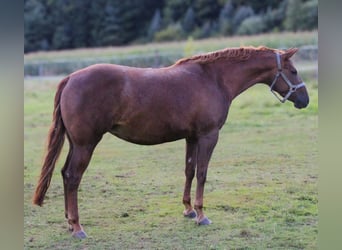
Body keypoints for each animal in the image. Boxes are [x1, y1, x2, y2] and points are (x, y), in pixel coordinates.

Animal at [32, 46, 310, 239]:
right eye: (293, 71)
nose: (305, 100)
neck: (213, 78)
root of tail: (70, 78)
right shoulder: (209, 135)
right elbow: (202, 173)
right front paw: (201, 214)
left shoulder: (192, 137)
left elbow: (189, 170)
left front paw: (188, 210)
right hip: (85, 144)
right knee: (73, 178)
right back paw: (78, 227)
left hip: (76, 144)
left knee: (65, 174)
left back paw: (69, 223)